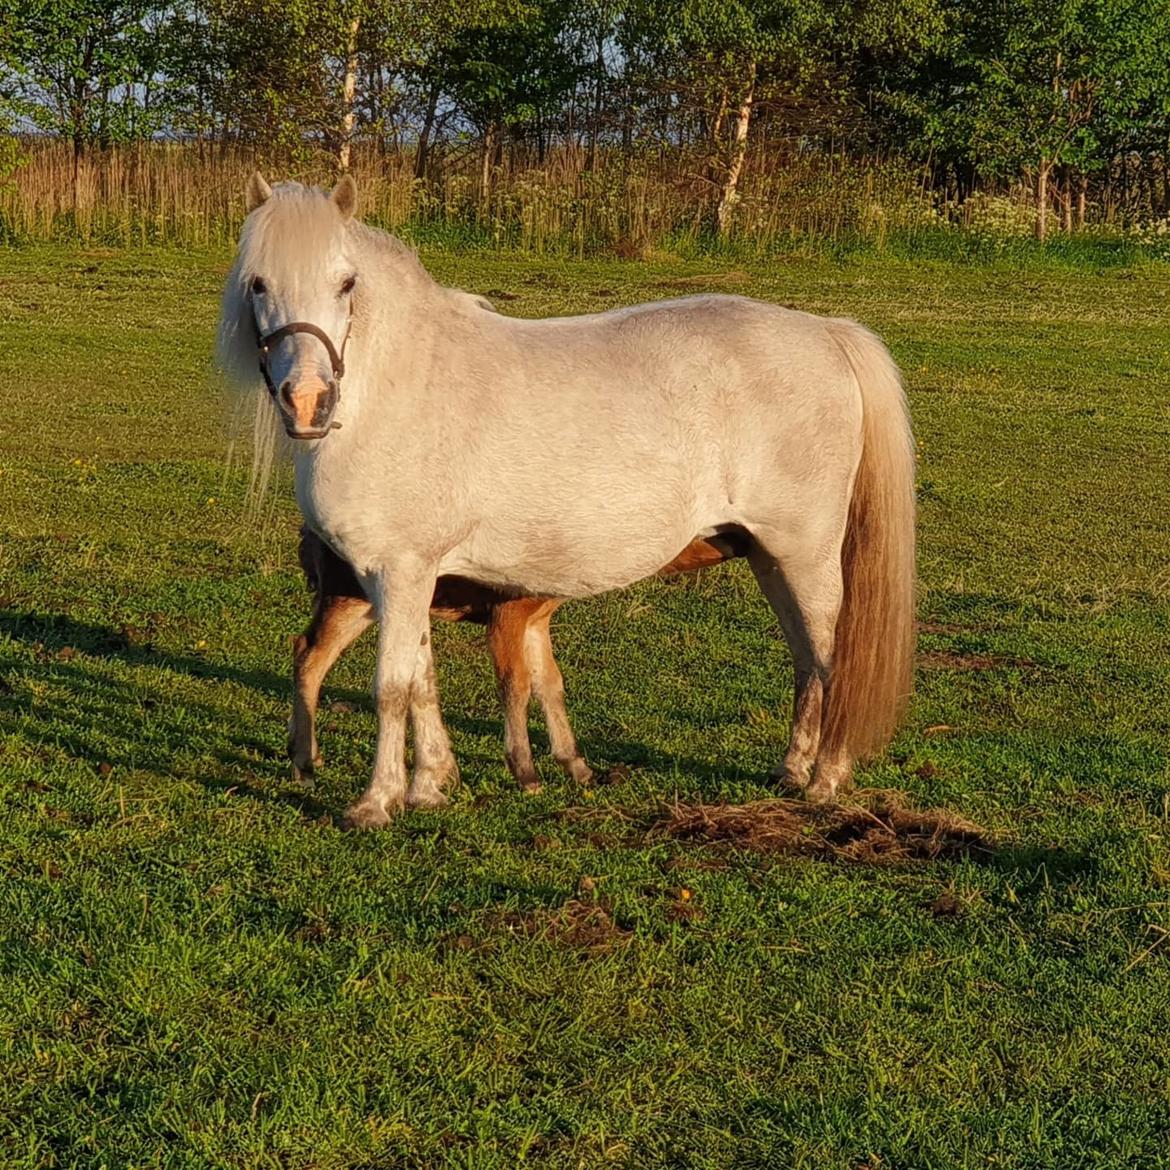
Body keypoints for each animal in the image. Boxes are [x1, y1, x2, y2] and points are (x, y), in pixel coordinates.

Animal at [219, 175, 912, 833]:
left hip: (806, 554)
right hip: (768, 556)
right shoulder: (400, 578)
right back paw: (793, 769)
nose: (307, 402)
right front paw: (430, 786)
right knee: (804, 659)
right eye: (258, 283)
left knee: (829, 659)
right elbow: (420, 680)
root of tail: (826, 332)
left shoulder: (402, 571)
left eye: (346, 283)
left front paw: (377, 802)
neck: (394, 388)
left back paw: (824, 781)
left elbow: (392, 687)